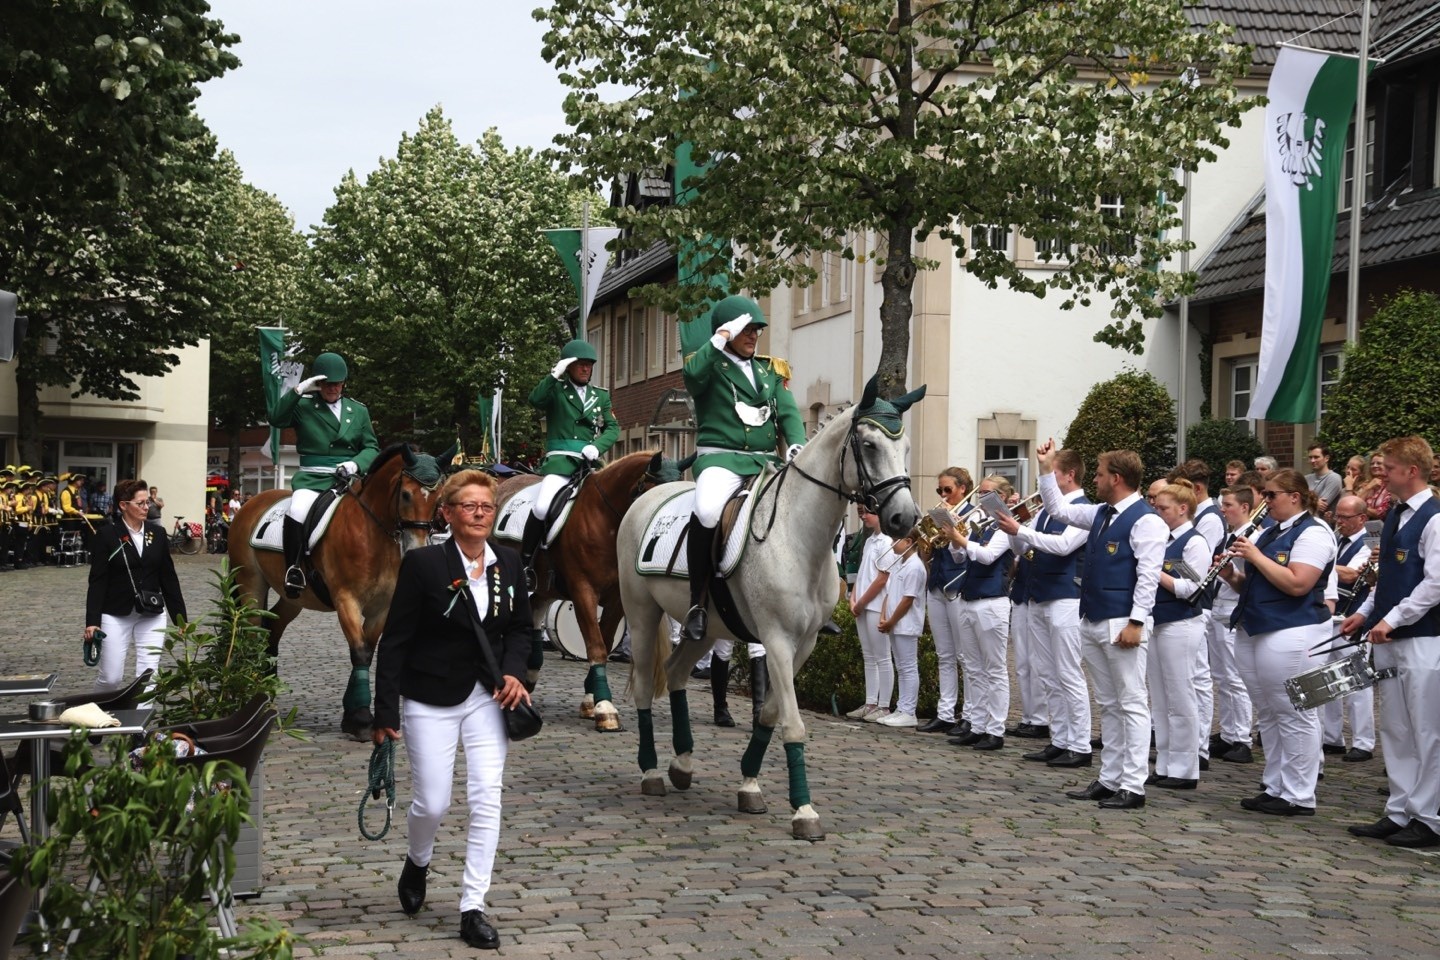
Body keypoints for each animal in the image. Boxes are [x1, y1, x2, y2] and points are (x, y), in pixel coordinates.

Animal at [227, 440, 449, 736]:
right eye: (405, 495)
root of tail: (251, 503)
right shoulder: (347, 599)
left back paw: (269, 691)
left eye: (438, 500)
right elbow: (360, 651)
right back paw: (256, 695)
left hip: (293, 597)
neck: (373, 533)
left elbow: (367, 651)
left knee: (272, 629)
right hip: (250, 584)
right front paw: (362, 718)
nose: (415, 549)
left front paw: (353, 714)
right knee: (253, 633)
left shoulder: (383, 606)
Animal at [495, 454, 691, 731]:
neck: (606, 521)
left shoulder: (617, 599)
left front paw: (592, 699)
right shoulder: (583, 592)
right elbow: (595, 646)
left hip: (546, 586)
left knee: (534, 610)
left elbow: (604, 644)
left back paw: (530, 674)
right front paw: (605, 708)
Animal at [619, 374, 921, 840]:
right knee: (643, 686)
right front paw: (804, 811)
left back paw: (682, 764)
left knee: (676, 673)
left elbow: (771, 712)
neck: (797, 536)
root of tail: (648, 498)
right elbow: (792, 722)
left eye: (905, 447)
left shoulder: (805, 644)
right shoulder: (777, 639)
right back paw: (651, 772)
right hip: (642, 616)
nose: (904, 519)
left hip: (706, 628)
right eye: (869, 445)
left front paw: (749, 784)